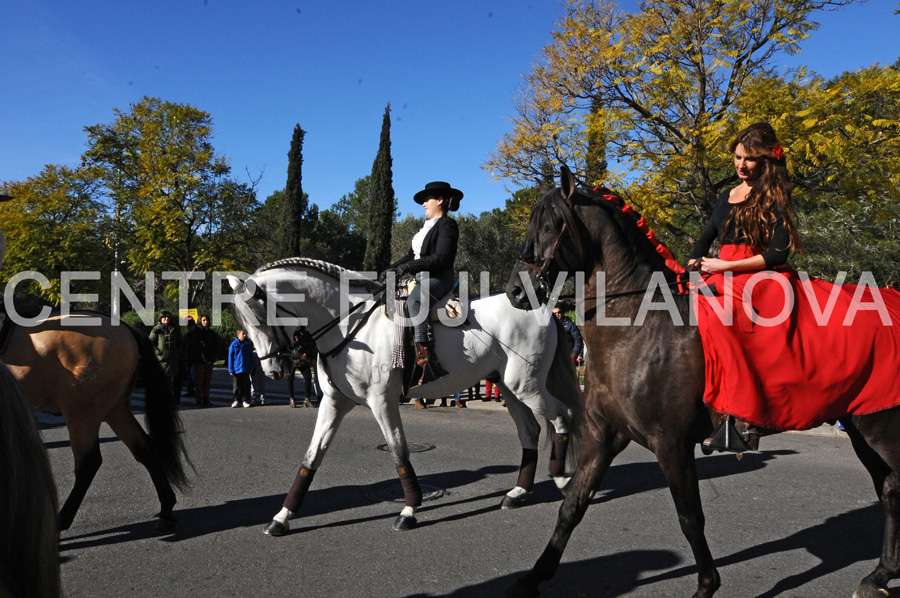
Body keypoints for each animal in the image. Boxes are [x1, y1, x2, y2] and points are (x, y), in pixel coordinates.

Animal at [1, 312, 192, 532]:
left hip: (82, 412)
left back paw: (63, 519)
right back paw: (167, 510)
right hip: (116, 409)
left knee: (88, 463)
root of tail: (124, 327)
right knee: (144, 449)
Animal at [230, 258, 584, 536]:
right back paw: (518, 492)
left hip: (526, 386)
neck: (348, 324)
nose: (272, 370)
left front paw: (409, 511)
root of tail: (542, 308)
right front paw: (282, 516)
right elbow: (310, 458)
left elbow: (399, 453)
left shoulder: (382, 402)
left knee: (562, 416)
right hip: (510, 388)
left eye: (259, 317)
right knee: (530, 431)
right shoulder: (334, 403)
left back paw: (562, 479)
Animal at [502, 166, 900, 598]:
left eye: (549, 226)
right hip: (862, 427)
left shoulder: (671, 443)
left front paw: (707, 586)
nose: (514, 291)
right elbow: (572, 505)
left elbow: (690, 517)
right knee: (889, 489)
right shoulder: (603, 435)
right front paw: (534, 576)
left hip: (880, 426)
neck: (638, 327)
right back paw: (880, 574)